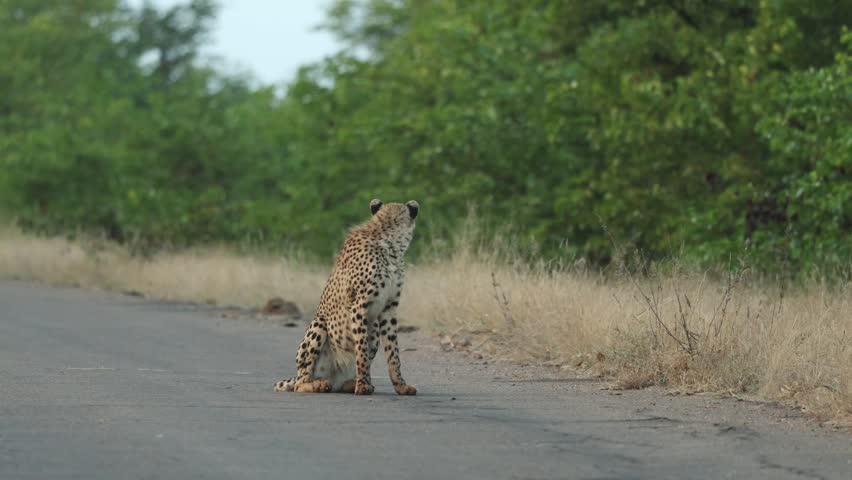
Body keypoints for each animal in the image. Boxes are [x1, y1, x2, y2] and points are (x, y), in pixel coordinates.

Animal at [274, 199, 419, 396]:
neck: (389, 244)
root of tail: (333, 378)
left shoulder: (389, 307)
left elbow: (393, 352)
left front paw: (401, 385)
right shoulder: (359, 306)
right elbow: (362, 350)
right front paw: (363, 385)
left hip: (373, 328)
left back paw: (351, 383)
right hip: (319, 325)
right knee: (300, 383)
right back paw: (319, 384)